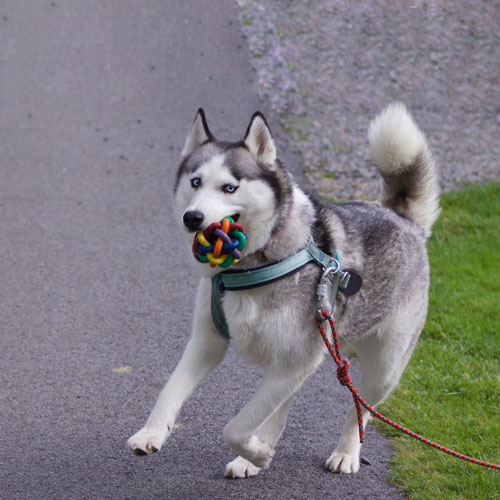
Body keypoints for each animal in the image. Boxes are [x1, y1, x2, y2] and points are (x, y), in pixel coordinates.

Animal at [127, 101, 440, 476]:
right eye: (195, 182)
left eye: (229, 188)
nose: (193, 217)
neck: (255, 265)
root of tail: (402, 218)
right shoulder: (209, 342)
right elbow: (170, 390)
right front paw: (151, 434)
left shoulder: (294, 362)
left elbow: (235, 426)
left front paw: (258, 453)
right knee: (281, 410)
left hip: (383, 368)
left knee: (360, 409)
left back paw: (346, 453)